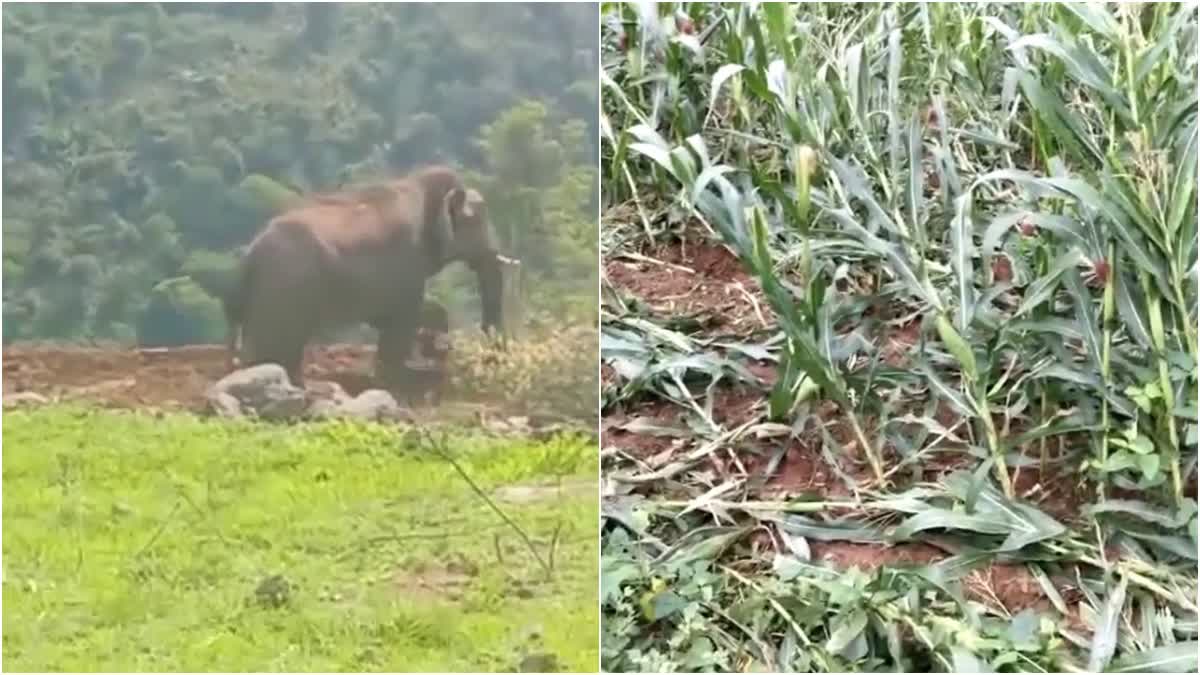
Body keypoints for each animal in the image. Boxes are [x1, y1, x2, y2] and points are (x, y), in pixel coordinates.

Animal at [223, 162, 504, 389]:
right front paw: (399, 379)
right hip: (283, 292)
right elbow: (402, 317)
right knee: (274, 346)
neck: (419, 185)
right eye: (478, 221)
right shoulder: (405, 258)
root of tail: (249, 257)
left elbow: (397, 314)